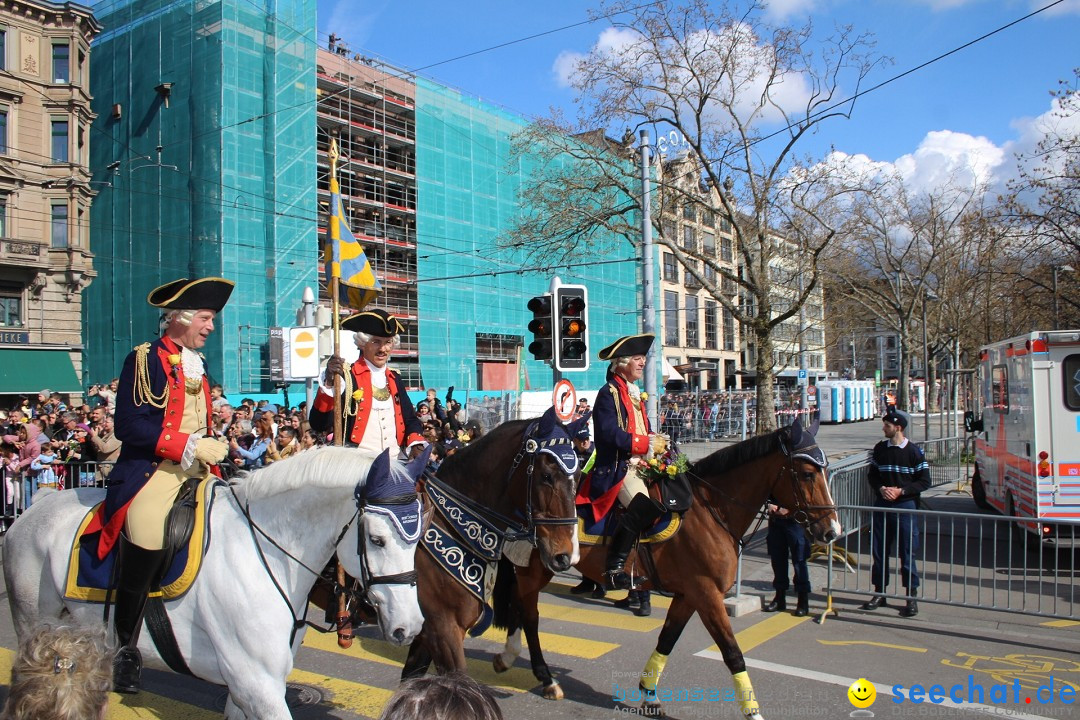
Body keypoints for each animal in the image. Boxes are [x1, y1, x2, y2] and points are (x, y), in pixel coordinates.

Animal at [5, 444, 425, 720]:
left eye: (418, 537)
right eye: (377, 539)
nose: (410, 626)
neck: (265, 552)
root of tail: (37, 504)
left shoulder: (246, 688)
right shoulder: (257, 683)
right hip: (32, 625)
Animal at [494, 423, 838, 716]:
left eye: (823, 470)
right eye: (808, 473)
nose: (831, 530)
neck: (710, 510)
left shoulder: (689, 594)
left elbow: (667, 641)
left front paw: (649, 695)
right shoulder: (707, 594)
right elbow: (732, 653)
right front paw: (753, 712)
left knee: (519, 607)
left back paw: (508, 656)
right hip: (536, 569)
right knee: (530, 615)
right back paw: (545, 677)